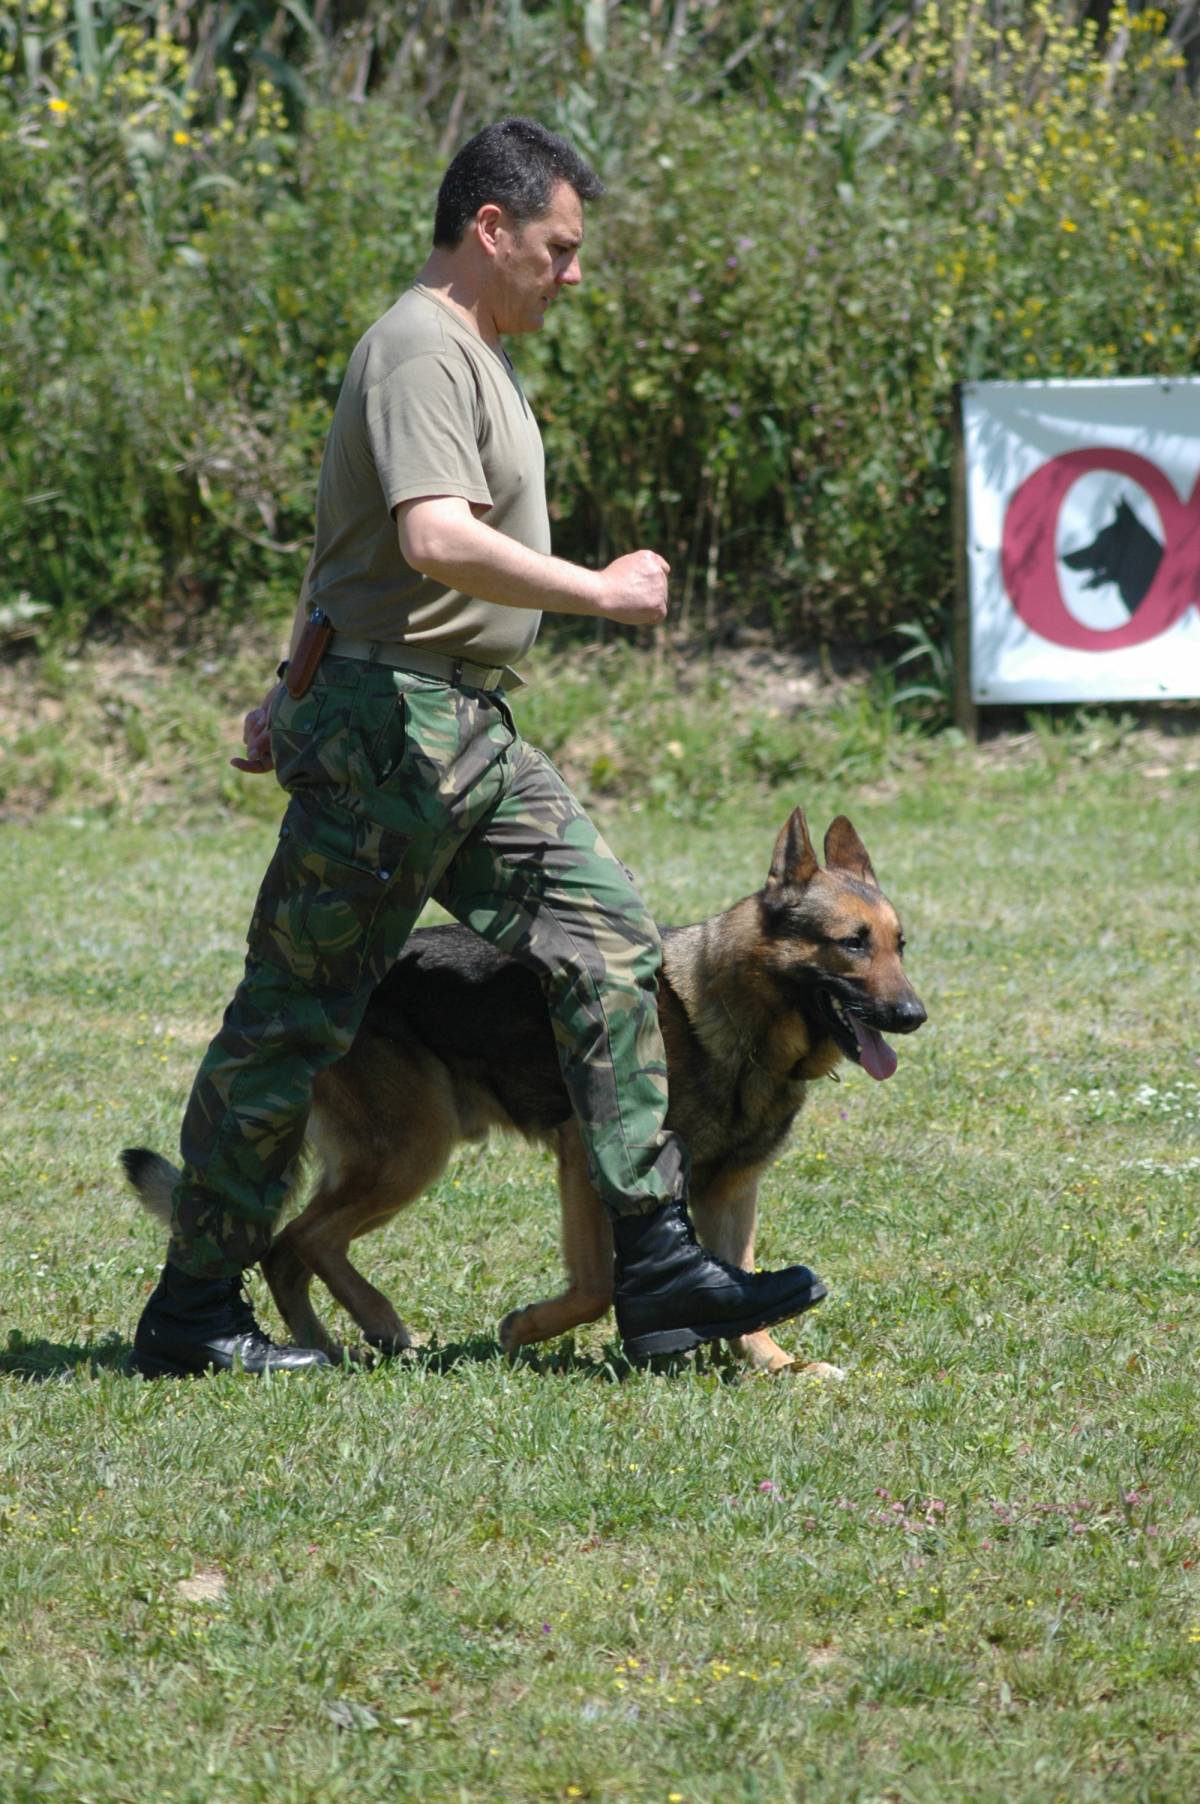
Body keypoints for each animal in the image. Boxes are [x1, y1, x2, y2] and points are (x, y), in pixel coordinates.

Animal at [123, 811, 923, 1371]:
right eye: (851, 944)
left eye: (899, 944)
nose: (915, 1015)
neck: (737, 1018)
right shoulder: (589, 1156)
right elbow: (596, 1286)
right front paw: (525, 1330)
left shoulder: (731, 1189)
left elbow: (747, 1288)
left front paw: (778, 1365)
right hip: (412, 1152)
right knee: (300, 1238)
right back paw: (378, 1325)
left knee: (286, 1250)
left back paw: (326, 1343)